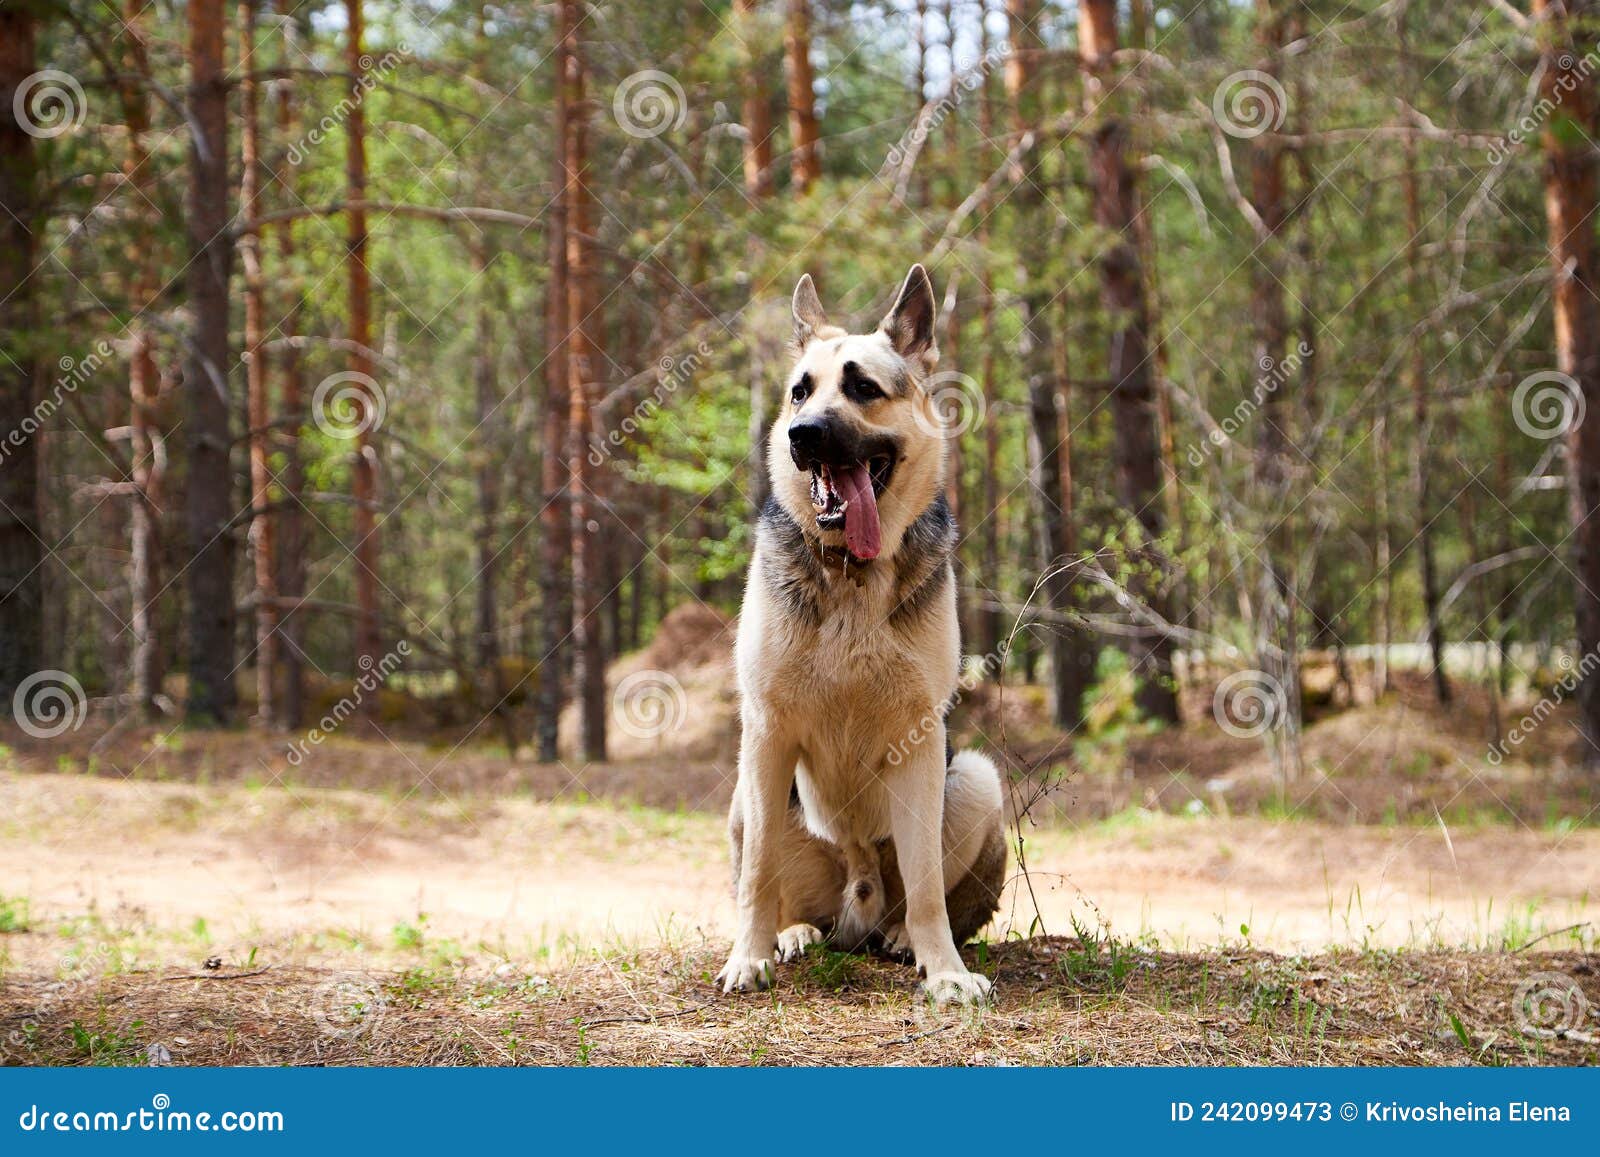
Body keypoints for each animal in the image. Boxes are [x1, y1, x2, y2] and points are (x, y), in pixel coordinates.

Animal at [720, 264, 1004, 1004]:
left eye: (863, 389)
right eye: (800, 391)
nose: (802, 435)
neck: (851, 571)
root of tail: (859, 896)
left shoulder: (922, 737)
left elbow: (929, 882)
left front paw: (946, 971)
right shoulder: (766, 731)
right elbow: (757, 873)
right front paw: (748, 957)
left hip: (976, 778)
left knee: (925, 897)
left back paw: (905, 937)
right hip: (745, 794)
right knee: (772, 881)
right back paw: (792, 934)